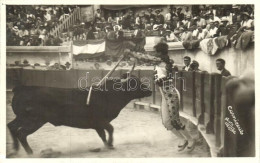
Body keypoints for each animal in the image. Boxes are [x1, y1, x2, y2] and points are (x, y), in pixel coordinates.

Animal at [7, 74, 152, 155]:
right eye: (134, 83)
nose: (150, 91)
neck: (108, 95)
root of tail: (21, 88)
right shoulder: (100, 121)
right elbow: (110, 129)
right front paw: (110, 144)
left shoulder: (97, 125)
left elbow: (103, 134)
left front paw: (106, 145)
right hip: (34, 120)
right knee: (21, 133)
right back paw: (30, 152)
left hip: (22, 118)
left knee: (11, 126)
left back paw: (15, 149)